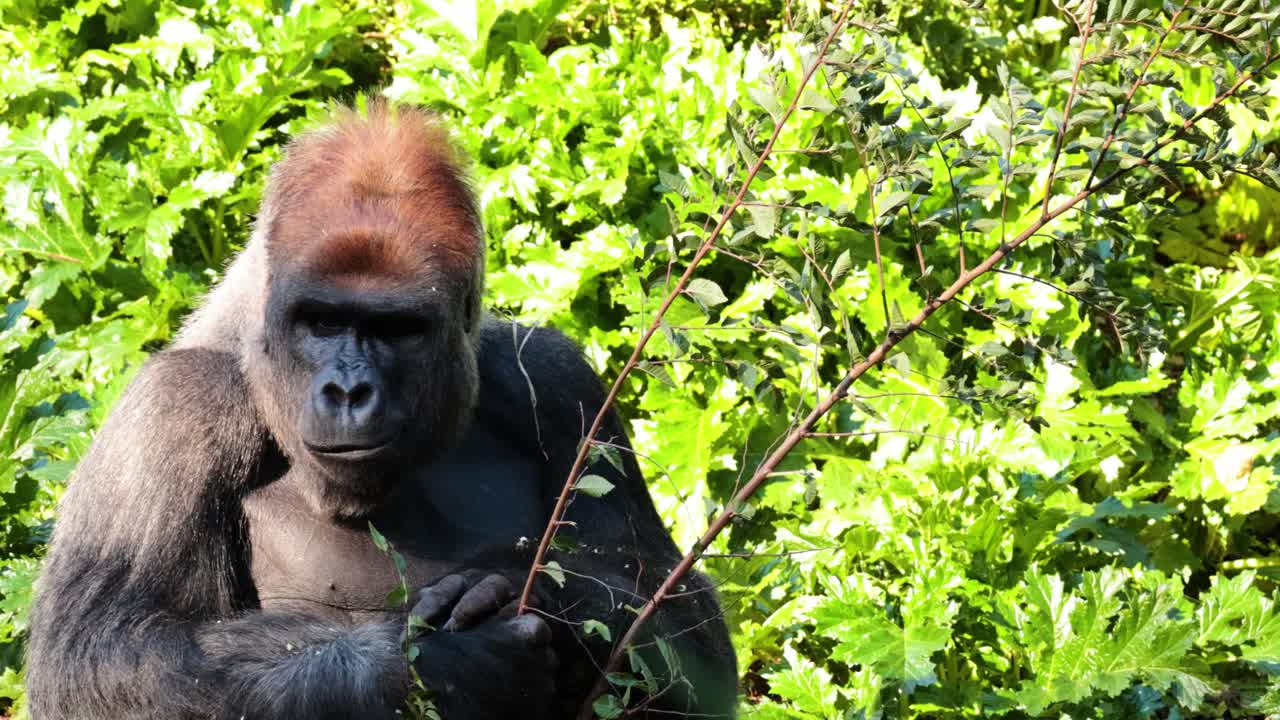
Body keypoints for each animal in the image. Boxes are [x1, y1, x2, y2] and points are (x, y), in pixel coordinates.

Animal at [25, 102, 737, 719]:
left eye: (396, 329)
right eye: (322, 321)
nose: (348, 391)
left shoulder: (560, 383)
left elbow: (684, 625)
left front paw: (539, 596)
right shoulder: (174, 413)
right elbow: (102, 655)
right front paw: (438, 666)